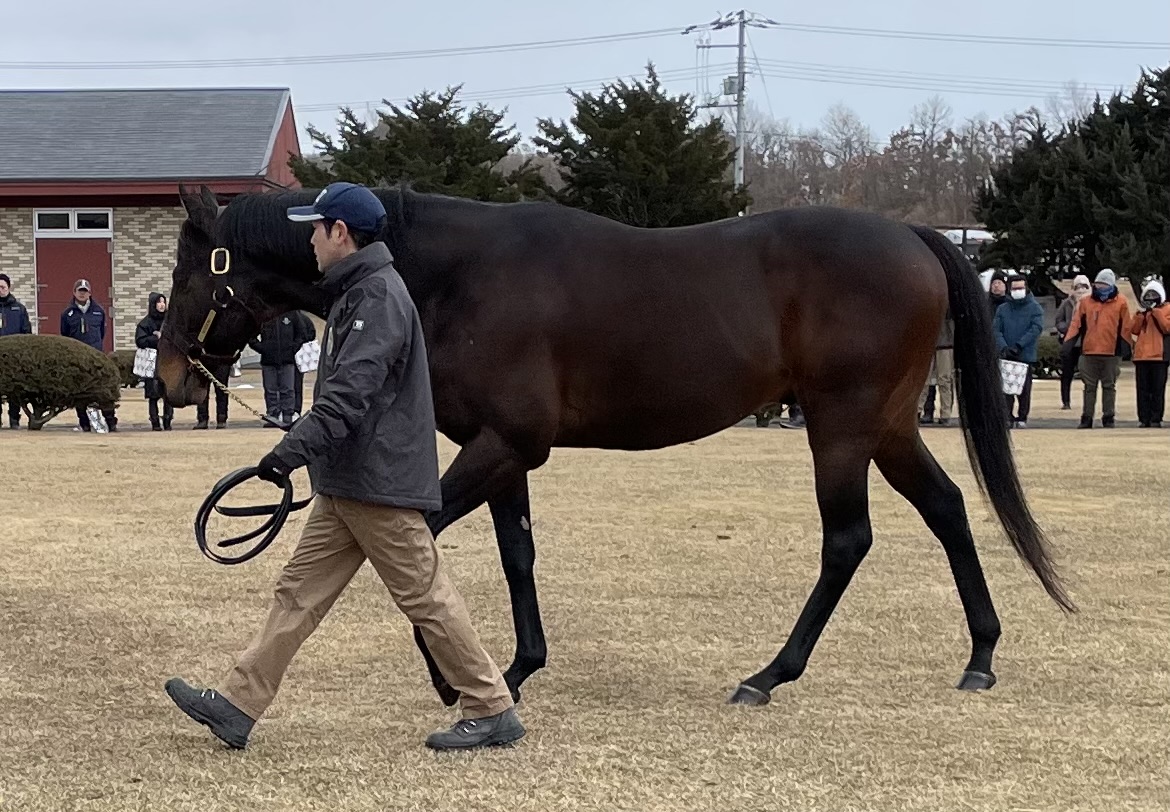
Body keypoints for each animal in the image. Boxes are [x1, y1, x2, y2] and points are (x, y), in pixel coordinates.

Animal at [157, 183, 1075, 709]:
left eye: (190, 273)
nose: (168, 379)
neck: (455, 274)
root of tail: (914, 237)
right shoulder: (503, 449)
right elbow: (515, 555)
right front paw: (514, 668)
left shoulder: (504, 443)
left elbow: (424, 546)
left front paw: (451, 677)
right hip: (887, 425)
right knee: (949, 509)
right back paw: (981, 655)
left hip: (841, 427)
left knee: (848, 540)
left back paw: (768, 676)